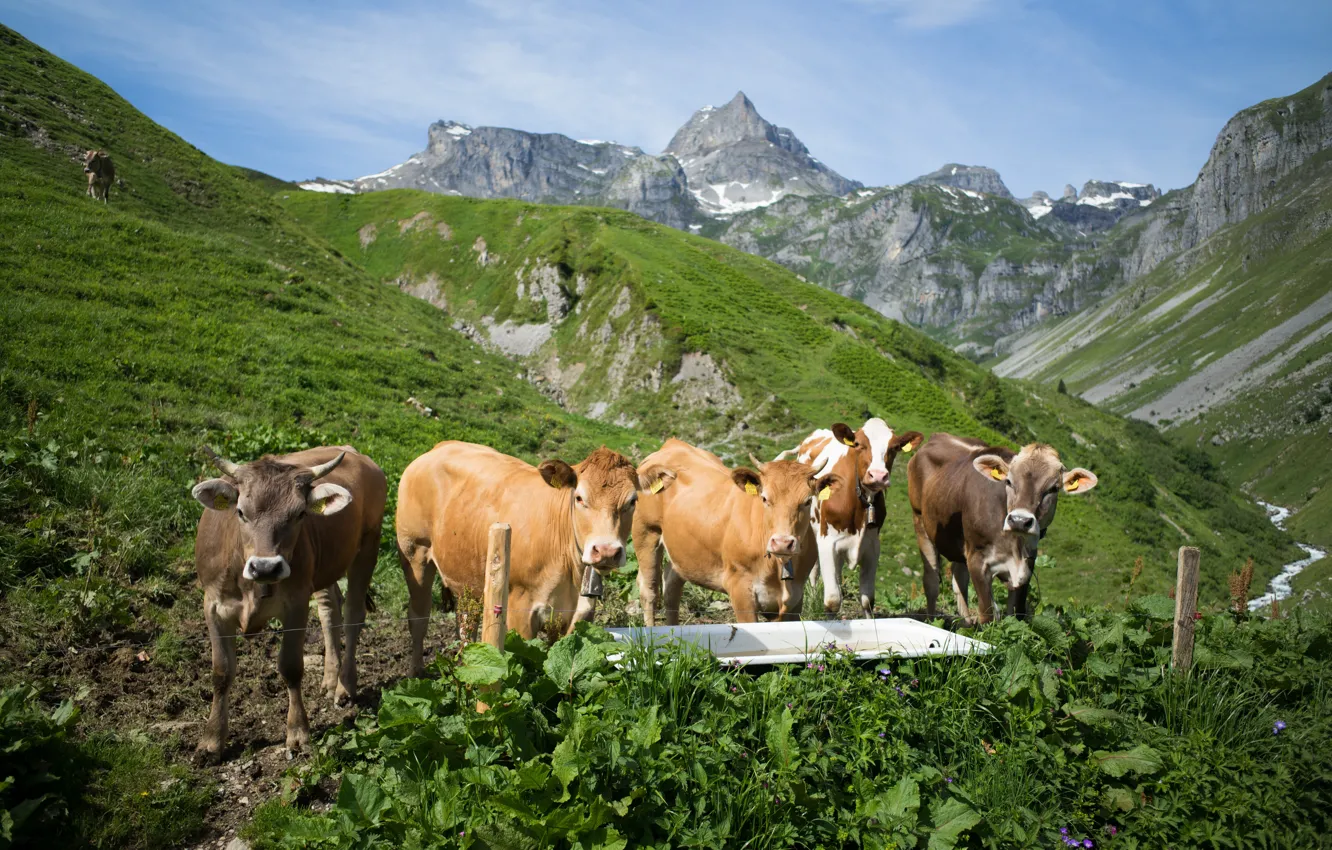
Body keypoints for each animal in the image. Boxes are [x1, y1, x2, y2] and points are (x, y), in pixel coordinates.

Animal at [190, 445, 387, 761]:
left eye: (300, 513)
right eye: (241, 512)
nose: (266, 567)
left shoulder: (296, 605)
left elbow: (291, 667)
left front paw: (297, 732)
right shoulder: (213, 606)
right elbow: (221, 672)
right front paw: (211, 741)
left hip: (368, 546)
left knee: (353, 614)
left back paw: (344, 686)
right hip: (326, 568)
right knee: (329, 609)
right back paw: (329, 679)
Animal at [395, 442, 642, 676]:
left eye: (633, 501)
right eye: (579, 498)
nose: (606, 550)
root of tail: (440, 447)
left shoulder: (578, 615)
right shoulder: (520, 609)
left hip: (464, 575)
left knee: (465, 622)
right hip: (415, 554)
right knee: (418, 617)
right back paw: (416, 672)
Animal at [632, 439, 838, 626]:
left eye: (807, 501)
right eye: (765, 498)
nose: (782, 543)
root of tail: (672, 445)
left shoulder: (795, 599)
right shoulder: (740, 588)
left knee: (672, 584)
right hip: (645, 533)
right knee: (649, 590)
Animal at [779, 419, 923, 617]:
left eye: (894, 447)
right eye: (858, 444)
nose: (878, 475)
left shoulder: (872, 546)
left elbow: (867, 600)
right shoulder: (827, 543)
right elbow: (832, 601)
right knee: (814, 572)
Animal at [907, 434, 1098, 624]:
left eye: (1053, 488)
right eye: (1009, 481)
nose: (1020, 520)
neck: (1015, 545)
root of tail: (938, 436)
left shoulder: (1027, 566)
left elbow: (1016, 614)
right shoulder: (977, 559)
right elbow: (988, 614)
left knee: (959, 579)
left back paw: (966, 624)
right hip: (920, 519)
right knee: (932, 580)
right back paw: (931, 621)